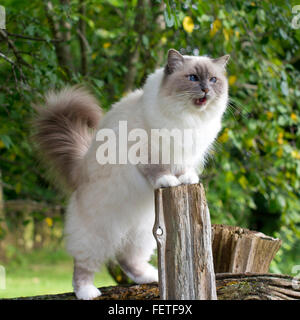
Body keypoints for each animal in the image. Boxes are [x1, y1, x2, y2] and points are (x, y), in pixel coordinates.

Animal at [33, 48, 230, 298]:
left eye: (213, 79)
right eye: (193, 78)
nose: (206, 89)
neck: (189, 120)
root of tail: (80, 168)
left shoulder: (188, 155)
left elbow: (185, 170)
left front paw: (185, 180)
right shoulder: (146, 152)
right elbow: (158, 170)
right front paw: (168, 181)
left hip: (144, 233)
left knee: (127, 259)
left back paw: (150, 276)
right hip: (96, 234)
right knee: (83, 266)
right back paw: (87, 292)